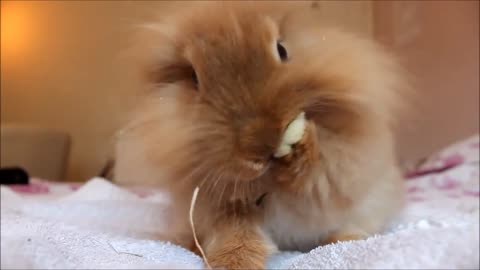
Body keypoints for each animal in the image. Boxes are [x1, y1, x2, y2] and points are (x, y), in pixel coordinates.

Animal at [114, 1, 406, 268]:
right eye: (194, 77)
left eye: (282, 49)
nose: (260, 146)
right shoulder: (223, 208)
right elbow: (238, 235)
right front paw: (232, 264)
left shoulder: (345, 160)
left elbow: (323, 169)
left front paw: (299, 146)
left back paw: (349, 241)